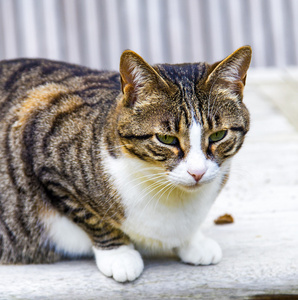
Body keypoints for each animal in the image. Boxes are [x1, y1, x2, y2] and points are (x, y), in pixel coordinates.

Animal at [0, 45, 251, 282]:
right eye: (166, 138)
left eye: (218, 135)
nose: (197, 172)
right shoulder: (44, 148)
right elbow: (92, 219)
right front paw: (119, 254)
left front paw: (193, 241)